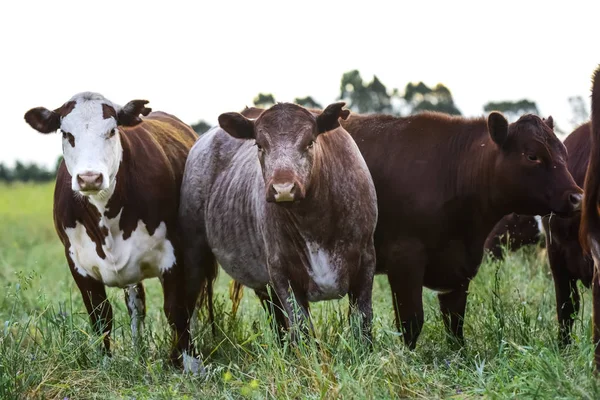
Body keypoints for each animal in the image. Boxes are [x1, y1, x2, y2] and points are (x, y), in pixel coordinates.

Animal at [23, 92, 198, 370]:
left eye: (112, 130)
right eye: (66, 133)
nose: (89, 178)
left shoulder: (176, 253)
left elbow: (177, 310)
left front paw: (190, 365)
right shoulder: (77, 263)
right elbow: (100, 316)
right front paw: (105, 364)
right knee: (137, 305)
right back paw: (138, 353)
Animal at [178, 102, 378, 340]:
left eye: (309, 142)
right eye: (259, 145)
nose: (283, 188)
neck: (314, 221)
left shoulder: (366, 262)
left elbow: (363, 322)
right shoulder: (281, 271)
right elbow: (301, 327)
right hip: (194, 252)